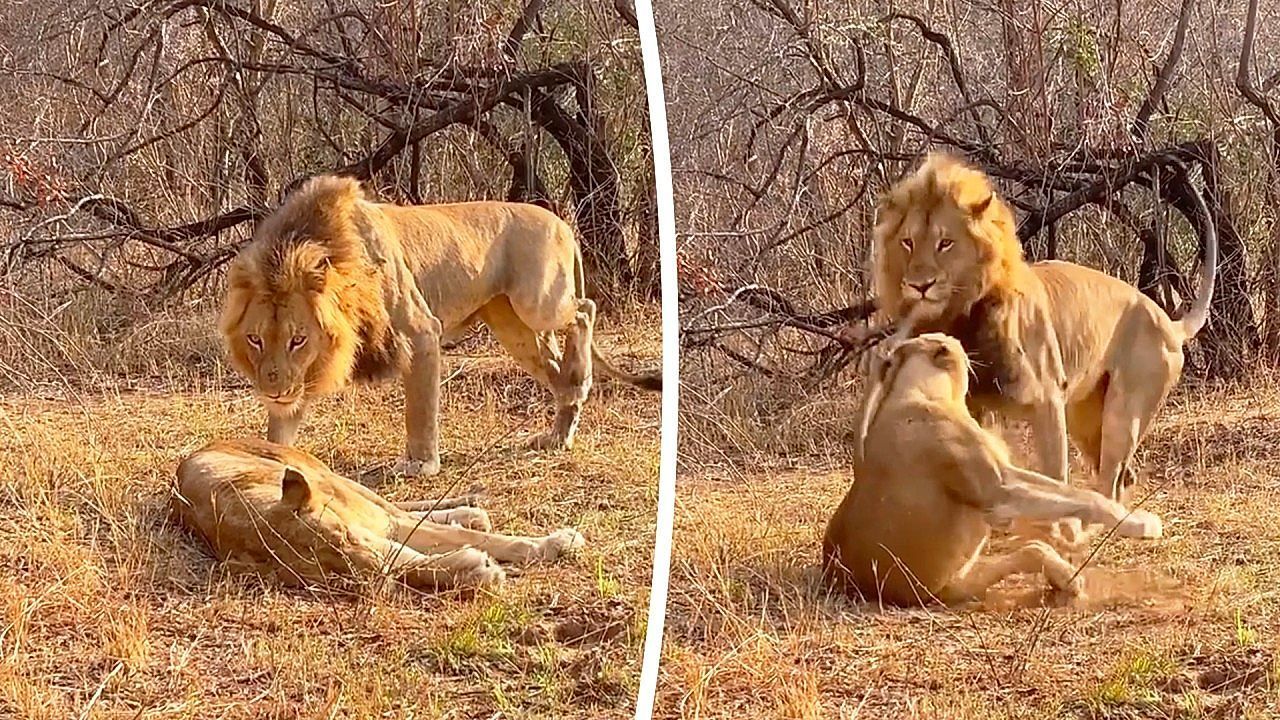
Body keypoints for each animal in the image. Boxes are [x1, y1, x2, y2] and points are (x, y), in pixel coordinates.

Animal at [170, 438, 585, 590]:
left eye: (344, 537)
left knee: (399, 505)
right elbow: (416, 562)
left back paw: (470, 510)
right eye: (335, 572)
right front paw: (473, 570)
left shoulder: (379, 526)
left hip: (334, 478)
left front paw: (555, 543)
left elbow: (478, 539)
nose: (373, 571)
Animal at [219, 176, 661, 477]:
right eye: (255, 339)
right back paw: (559, 429)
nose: (273, 391)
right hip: (513, 328)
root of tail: (562, 222)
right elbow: (282, 427)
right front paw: (267, 459)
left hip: (538, 302)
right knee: (554, 367)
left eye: (298, 339)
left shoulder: (420, 331)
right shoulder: (307, 372)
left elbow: (421, 409)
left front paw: (421, 464)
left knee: (585, 309)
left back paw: (580, 378)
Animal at [823, 334, 1163, 607]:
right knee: (1032, 552)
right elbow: (1087, 499)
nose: (963, 346)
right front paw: (1140, 523)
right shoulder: (1000, 489)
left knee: (1033, 549)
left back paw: (1065, 577)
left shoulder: (1007, 472)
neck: (919, 391)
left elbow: (1068, 491)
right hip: (951, 586)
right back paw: (1067, 578)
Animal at [864, 154, 1217, 500]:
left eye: (945, 243)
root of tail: (1168, 321)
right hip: (1086, 419)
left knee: (1111, 477)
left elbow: (1055, 475)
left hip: (1124, 414)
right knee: (1121, 479)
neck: (960, 316)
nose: (920, 285)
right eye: (908, 243)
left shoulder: (1047, 398)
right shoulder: (972, 405)